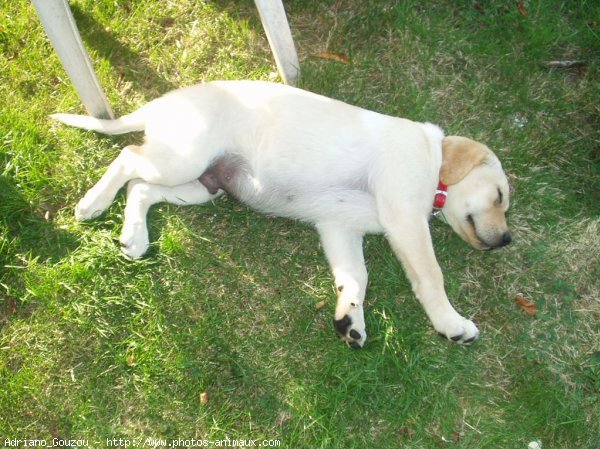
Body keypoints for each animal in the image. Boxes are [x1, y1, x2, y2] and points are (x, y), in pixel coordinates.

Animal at [52, 79, 510, 346]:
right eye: (500, 196)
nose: (507, 240)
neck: (434, 161)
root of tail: (162, 104)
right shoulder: (405, 218)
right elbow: (432, 276)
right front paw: (452, 323)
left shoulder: (339, 229)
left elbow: (355, 278)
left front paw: (350, 319)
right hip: (182, 158)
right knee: (128, 157)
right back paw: (93, 202)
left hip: (203, 186)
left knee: (141, 187)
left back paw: (135, 236)